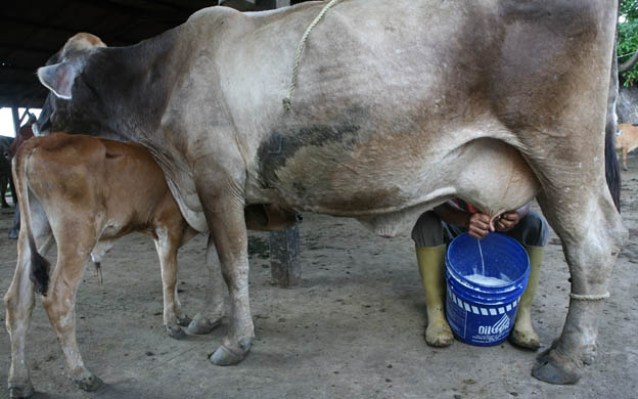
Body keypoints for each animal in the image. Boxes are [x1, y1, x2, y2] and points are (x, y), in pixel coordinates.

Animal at [28, 0, 624, 392]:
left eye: (49, 88)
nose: (35, 124)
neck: (162, 79)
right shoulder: (212, 185)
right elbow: (214, 260)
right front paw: (208, 320)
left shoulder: (215, 176)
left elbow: (234, 263)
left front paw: (235, 343)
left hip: (563, 153)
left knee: (593, 244)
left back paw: (566, 359)